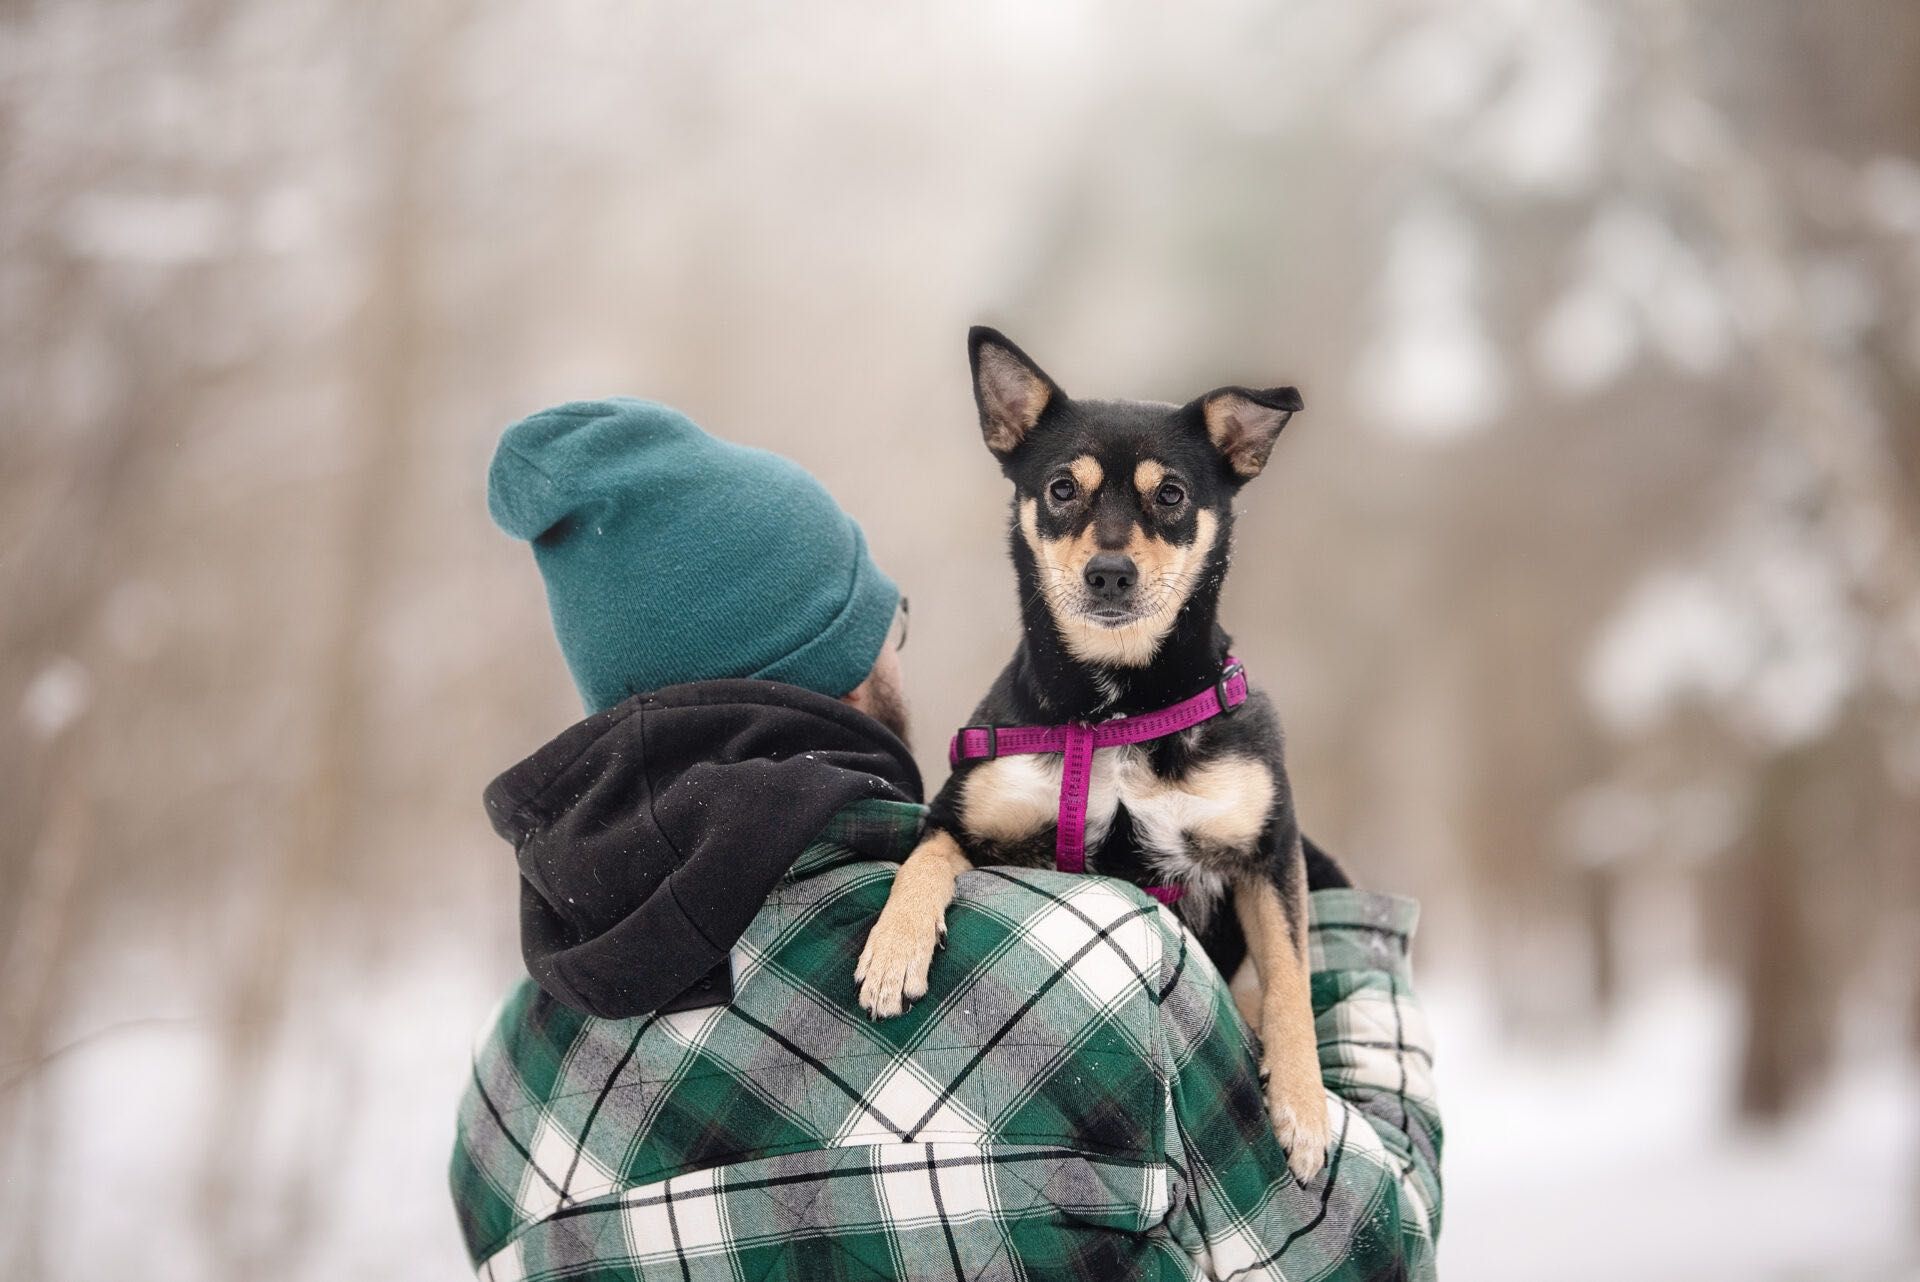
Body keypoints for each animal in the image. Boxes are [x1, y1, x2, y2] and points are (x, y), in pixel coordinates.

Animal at [864, 326, 1344, 1174]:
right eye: (1061, 488)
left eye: (1173, 495)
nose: (1109, 572)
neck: (1112, 715)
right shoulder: (966, 814)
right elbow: (921, 861)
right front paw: (893, 949)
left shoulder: (1266, 847)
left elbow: (1288, 979)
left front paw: (1303, 1108)